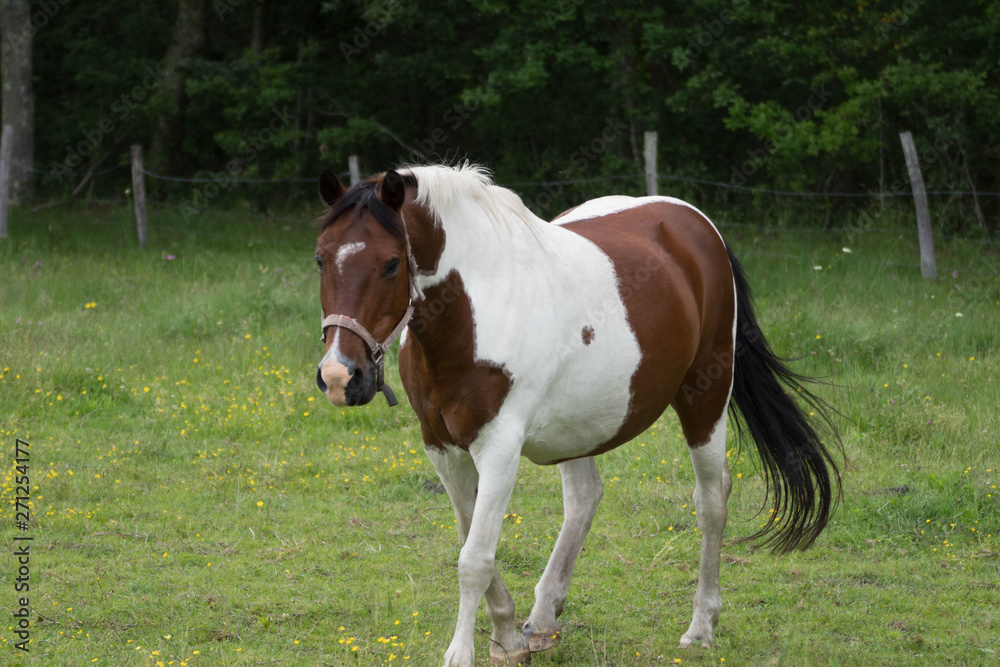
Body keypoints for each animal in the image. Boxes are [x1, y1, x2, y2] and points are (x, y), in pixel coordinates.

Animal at [314, 164, 840, 667]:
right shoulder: (441, 447)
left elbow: (475, 559)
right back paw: (543, 619)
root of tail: (695, 223)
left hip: (705, 397)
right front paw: (508, 639)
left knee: (711, 500)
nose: (340, 377)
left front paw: (462, 654)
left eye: (391, 263)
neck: (474, 309)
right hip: (577, 428)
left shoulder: (499, 448)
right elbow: (472, 543)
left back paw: (701, 626)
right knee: (585, 499)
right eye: (320, 258)